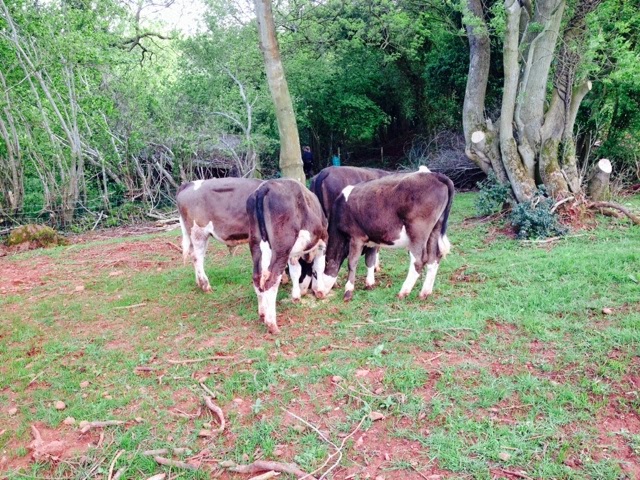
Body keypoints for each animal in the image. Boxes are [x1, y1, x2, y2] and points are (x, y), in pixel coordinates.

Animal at [246, 179, 328, 334]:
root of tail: (265, 187)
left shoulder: (292, 254)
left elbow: (295, 271)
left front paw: (296, 296)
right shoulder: (322, 241)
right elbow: (319, 267)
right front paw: (320, 291)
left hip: (256, 245)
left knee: (257, 277)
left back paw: (262, 313)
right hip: (281, 247)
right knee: (271, 281)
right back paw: (272, 324)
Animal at [315, 171, 454, 301]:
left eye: (315, 273)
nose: (318, 293)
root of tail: (436, 175)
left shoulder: (356, 237)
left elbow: (352, 262)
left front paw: (348, 291)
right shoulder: (371, 240)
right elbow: (370, 260)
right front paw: (370, 283)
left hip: (418, 231)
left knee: (419, 260)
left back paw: (403, 292)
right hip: (435, 229)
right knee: (434, 258)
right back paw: (425, 292)